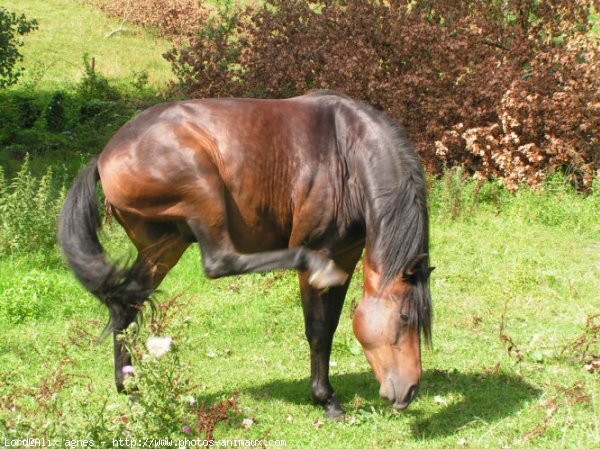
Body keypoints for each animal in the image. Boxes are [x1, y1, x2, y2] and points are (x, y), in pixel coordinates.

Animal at [58, 90, 434, 416]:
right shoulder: (325, 252)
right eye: (405, 317)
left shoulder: (347, 255)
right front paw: (324, 398)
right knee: (219, 261)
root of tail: (103, 156)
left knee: (127, 302)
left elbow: (328, 328)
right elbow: (316, 329)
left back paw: (130, 387)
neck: (346, 152)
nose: (411, 390)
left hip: (165, 245)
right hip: (201, 188)